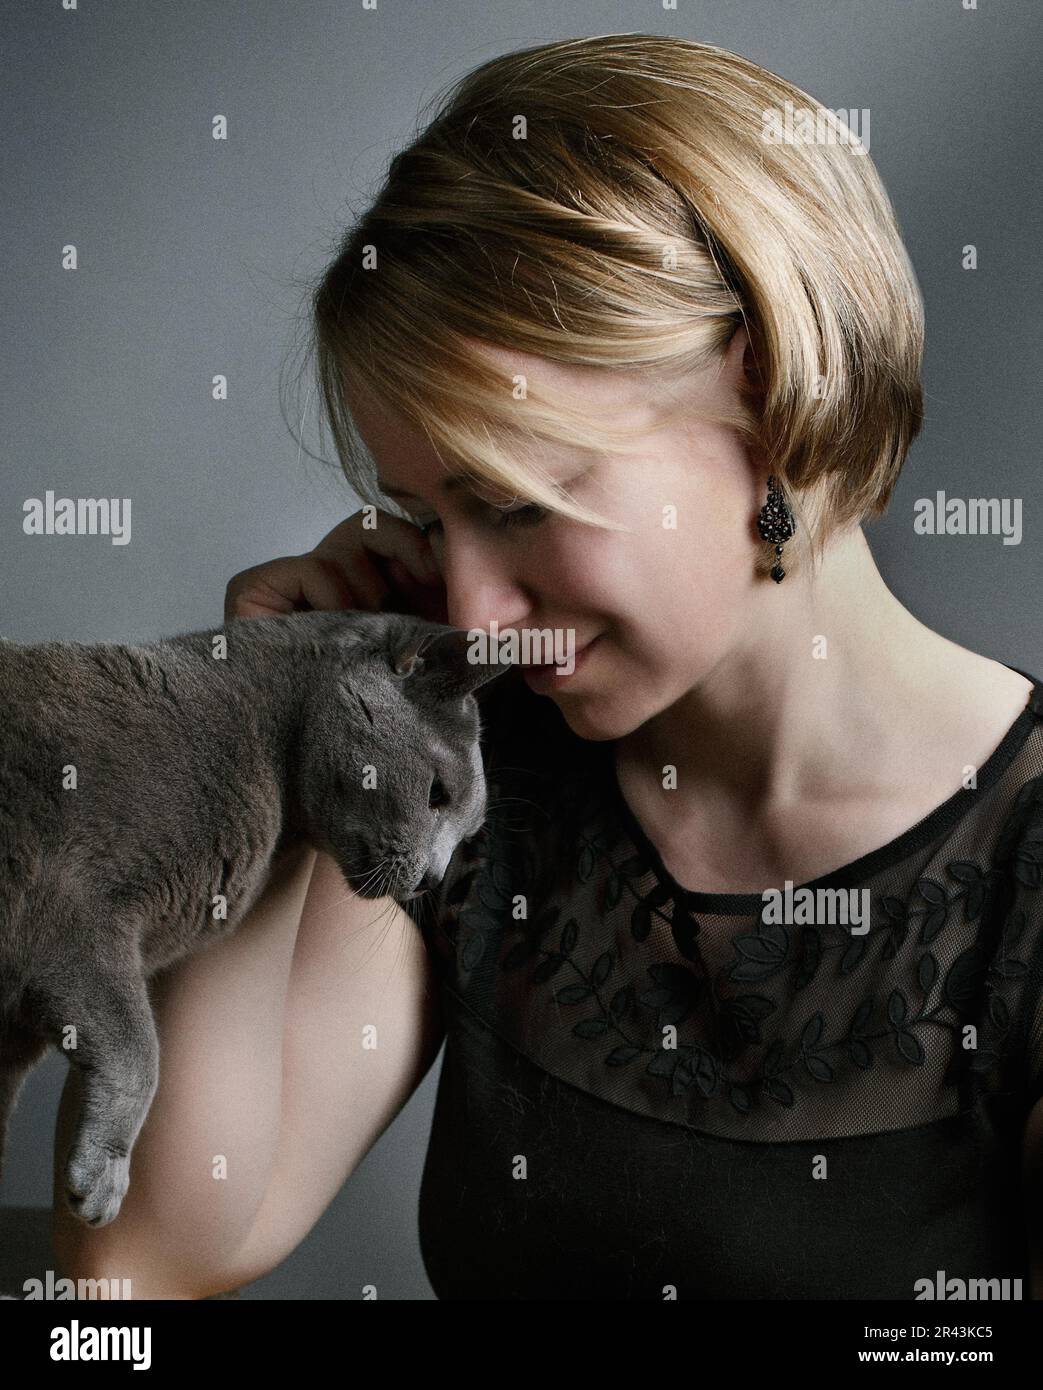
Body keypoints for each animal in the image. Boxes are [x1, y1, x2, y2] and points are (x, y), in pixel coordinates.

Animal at [0, 608, 506, 1228]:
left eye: (466, 834)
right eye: (437, 794)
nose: (434, 877)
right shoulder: (71, 911)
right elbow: (140, 1048)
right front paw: (104, 1174)